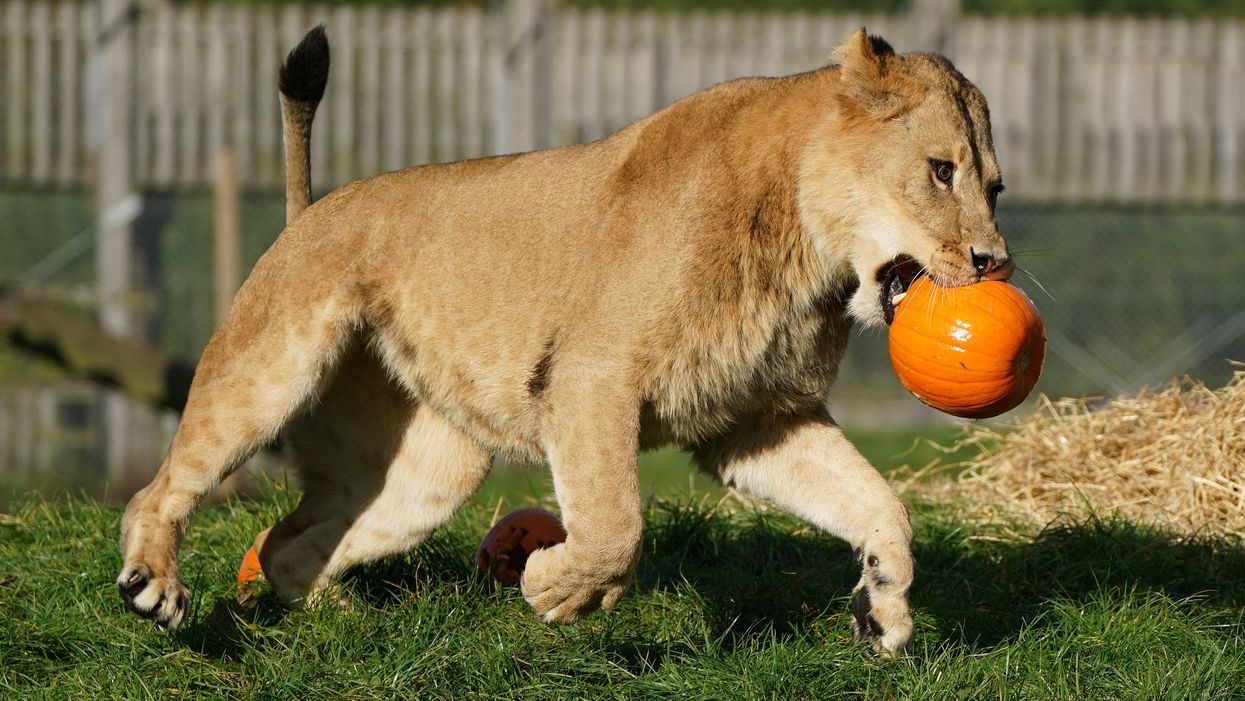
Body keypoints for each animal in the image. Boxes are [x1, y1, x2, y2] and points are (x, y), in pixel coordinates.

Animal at [116, 25, 1011, 655]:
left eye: (996, 188)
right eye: (939, 171)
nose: (992, 261)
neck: (807, 255)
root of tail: (310, 212)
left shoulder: (758, 419)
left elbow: (879, 503)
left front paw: (884, 608)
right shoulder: (591, 377)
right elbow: (616, 523)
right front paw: (558, 588)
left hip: (418, 476)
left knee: (289, 546)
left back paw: (332, 629)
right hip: (274, 364)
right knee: (159, 490)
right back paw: (155, 584)